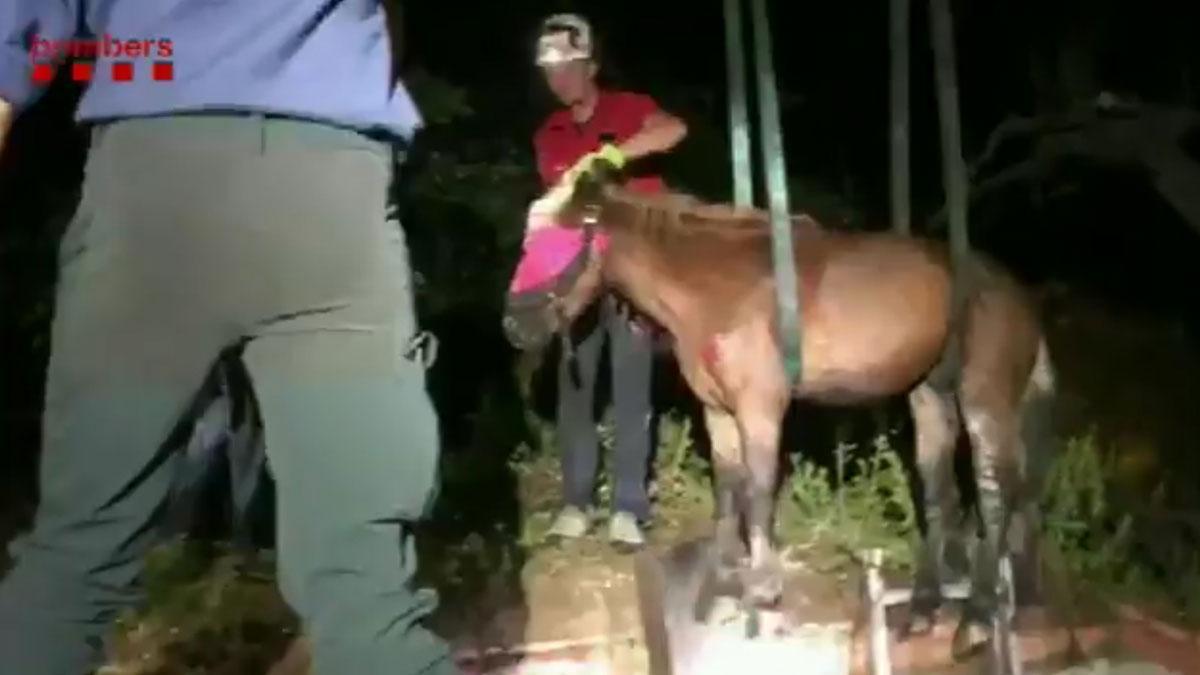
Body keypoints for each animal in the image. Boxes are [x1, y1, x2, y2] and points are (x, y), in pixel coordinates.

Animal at [501, 163, 1056, 662]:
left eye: (552, 244)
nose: (512, 326)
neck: (716, 288)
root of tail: (1018, 293)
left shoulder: (760, 406)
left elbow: (759, 491)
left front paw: (762, 592)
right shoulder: (718, 411)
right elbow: (728, 488)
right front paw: (719, 583)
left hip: (985, 396)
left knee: (995, 492)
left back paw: (978, 617)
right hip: (929, 396)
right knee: (941, 491)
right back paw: (924, 608)